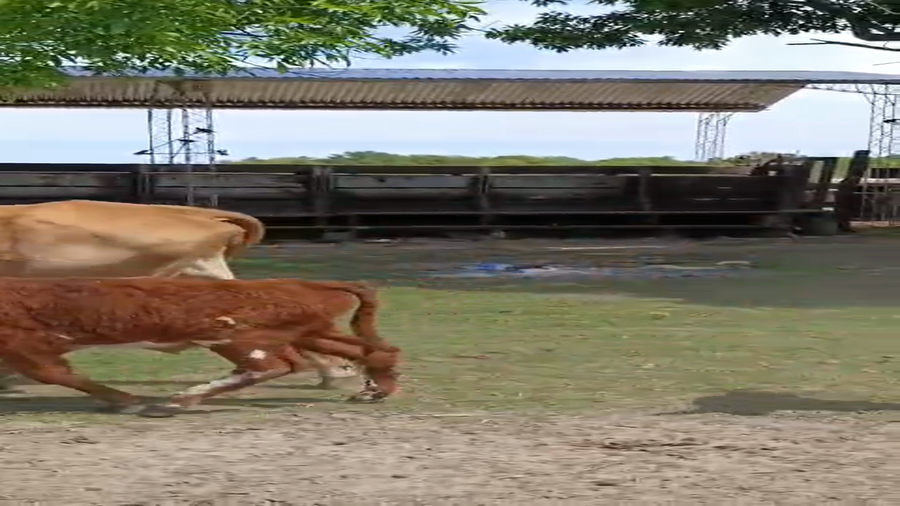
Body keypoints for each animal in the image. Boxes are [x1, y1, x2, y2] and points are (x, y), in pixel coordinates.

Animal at [0, 277, 401, 417]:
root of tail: (303, 285)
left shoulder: (25, 346)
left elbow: (58, 374)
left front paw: (129, 401)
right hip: (305, 330)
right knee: (373, 351)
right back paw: (374, 390)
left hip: (235, 335)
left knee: (271, 366)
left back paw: (176, 401)